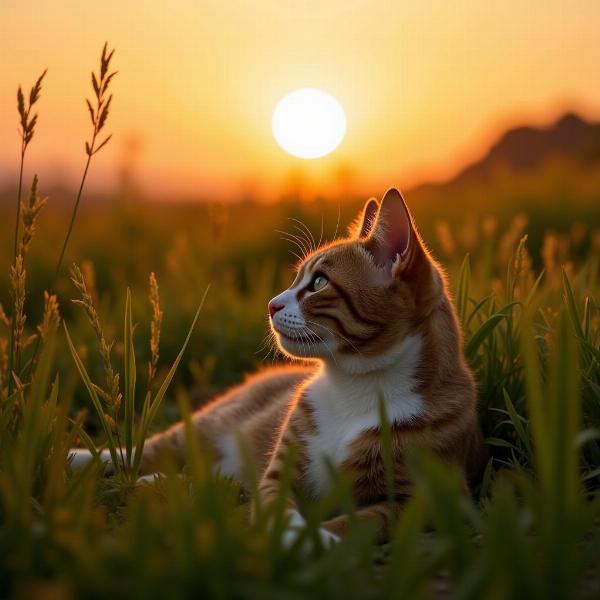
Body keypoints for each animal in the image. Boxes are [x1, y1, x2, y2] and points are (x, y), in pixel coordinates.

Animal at [71, 190, 488, 548]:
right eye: (297, 278)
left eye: (318, 283)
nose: (271, 304)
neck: (354, 386)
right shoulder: (280, 473)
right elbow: (277, 507)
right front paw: (288, 536)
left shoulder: (427, 501)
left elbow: (366, 521)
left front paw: (319, 539)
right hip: (210, 422)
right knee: (150, 448)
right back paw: (81, 459)